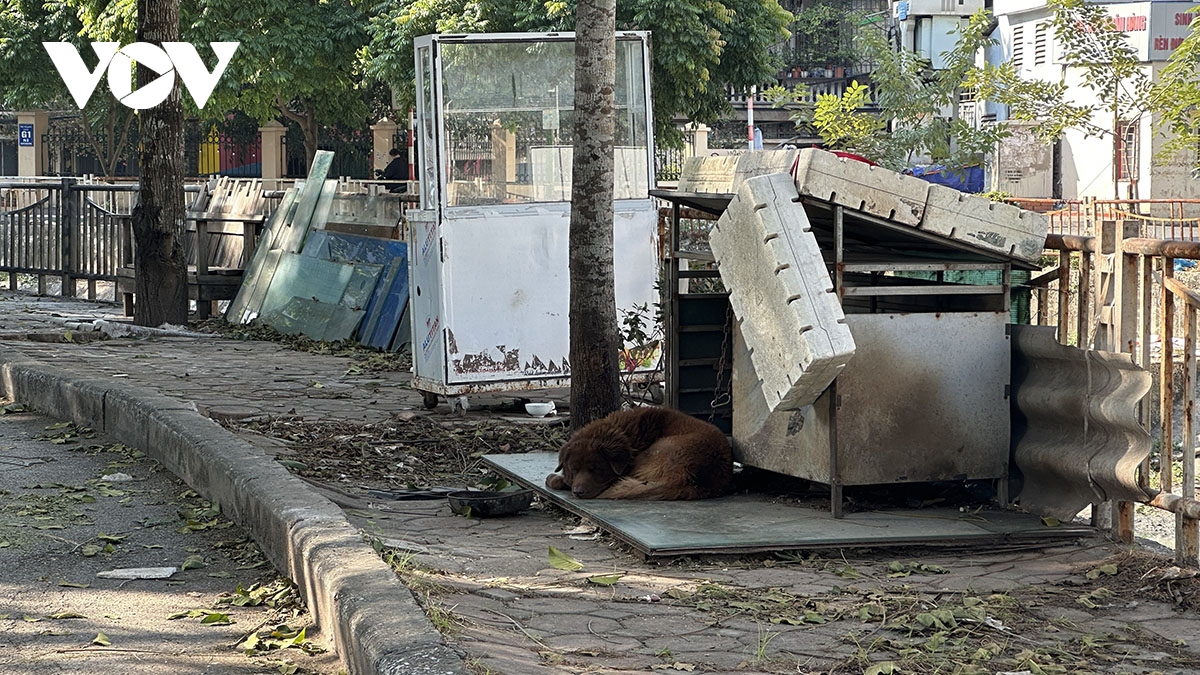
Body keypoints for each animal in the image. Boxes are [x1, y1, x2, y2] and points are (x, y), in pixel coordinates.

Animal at [547, 401, 729, 497]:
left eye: (596, 469)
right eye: (573, 469)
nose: (578, 492)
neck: (627, 434)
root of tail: (688, 476)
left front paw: (557, 479)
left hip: (659, 449)